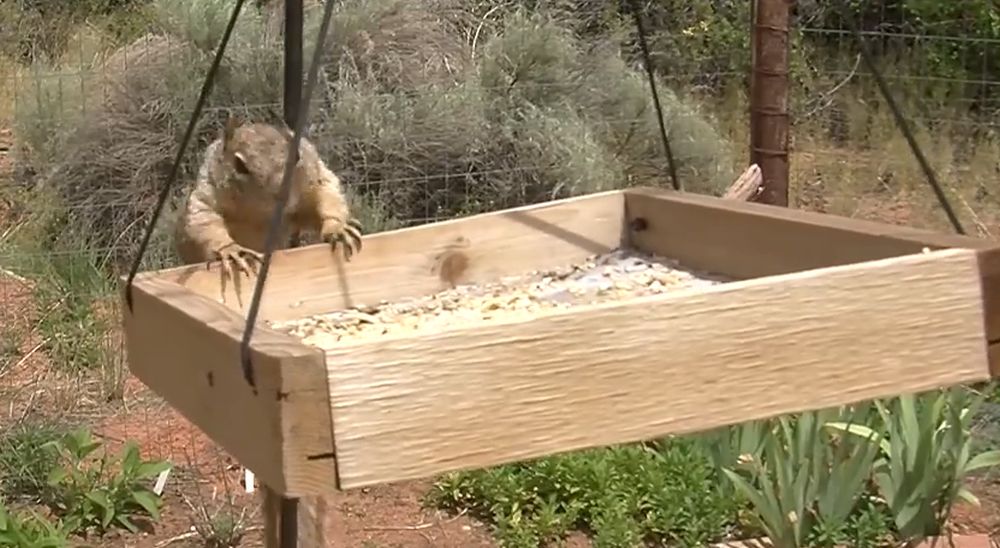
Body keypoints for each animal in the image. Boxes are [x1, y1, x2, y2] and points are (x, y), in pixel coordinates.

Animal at [175, 115, 364, 278]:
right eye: (239, 165)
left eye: (297, 156)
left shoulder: (314, 176)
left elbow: (327, 194)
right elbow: (204, 222)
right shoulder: (207, 192)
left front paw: (338, 228)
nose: (282, 194)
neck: (262, 214)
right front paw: (232, 251)